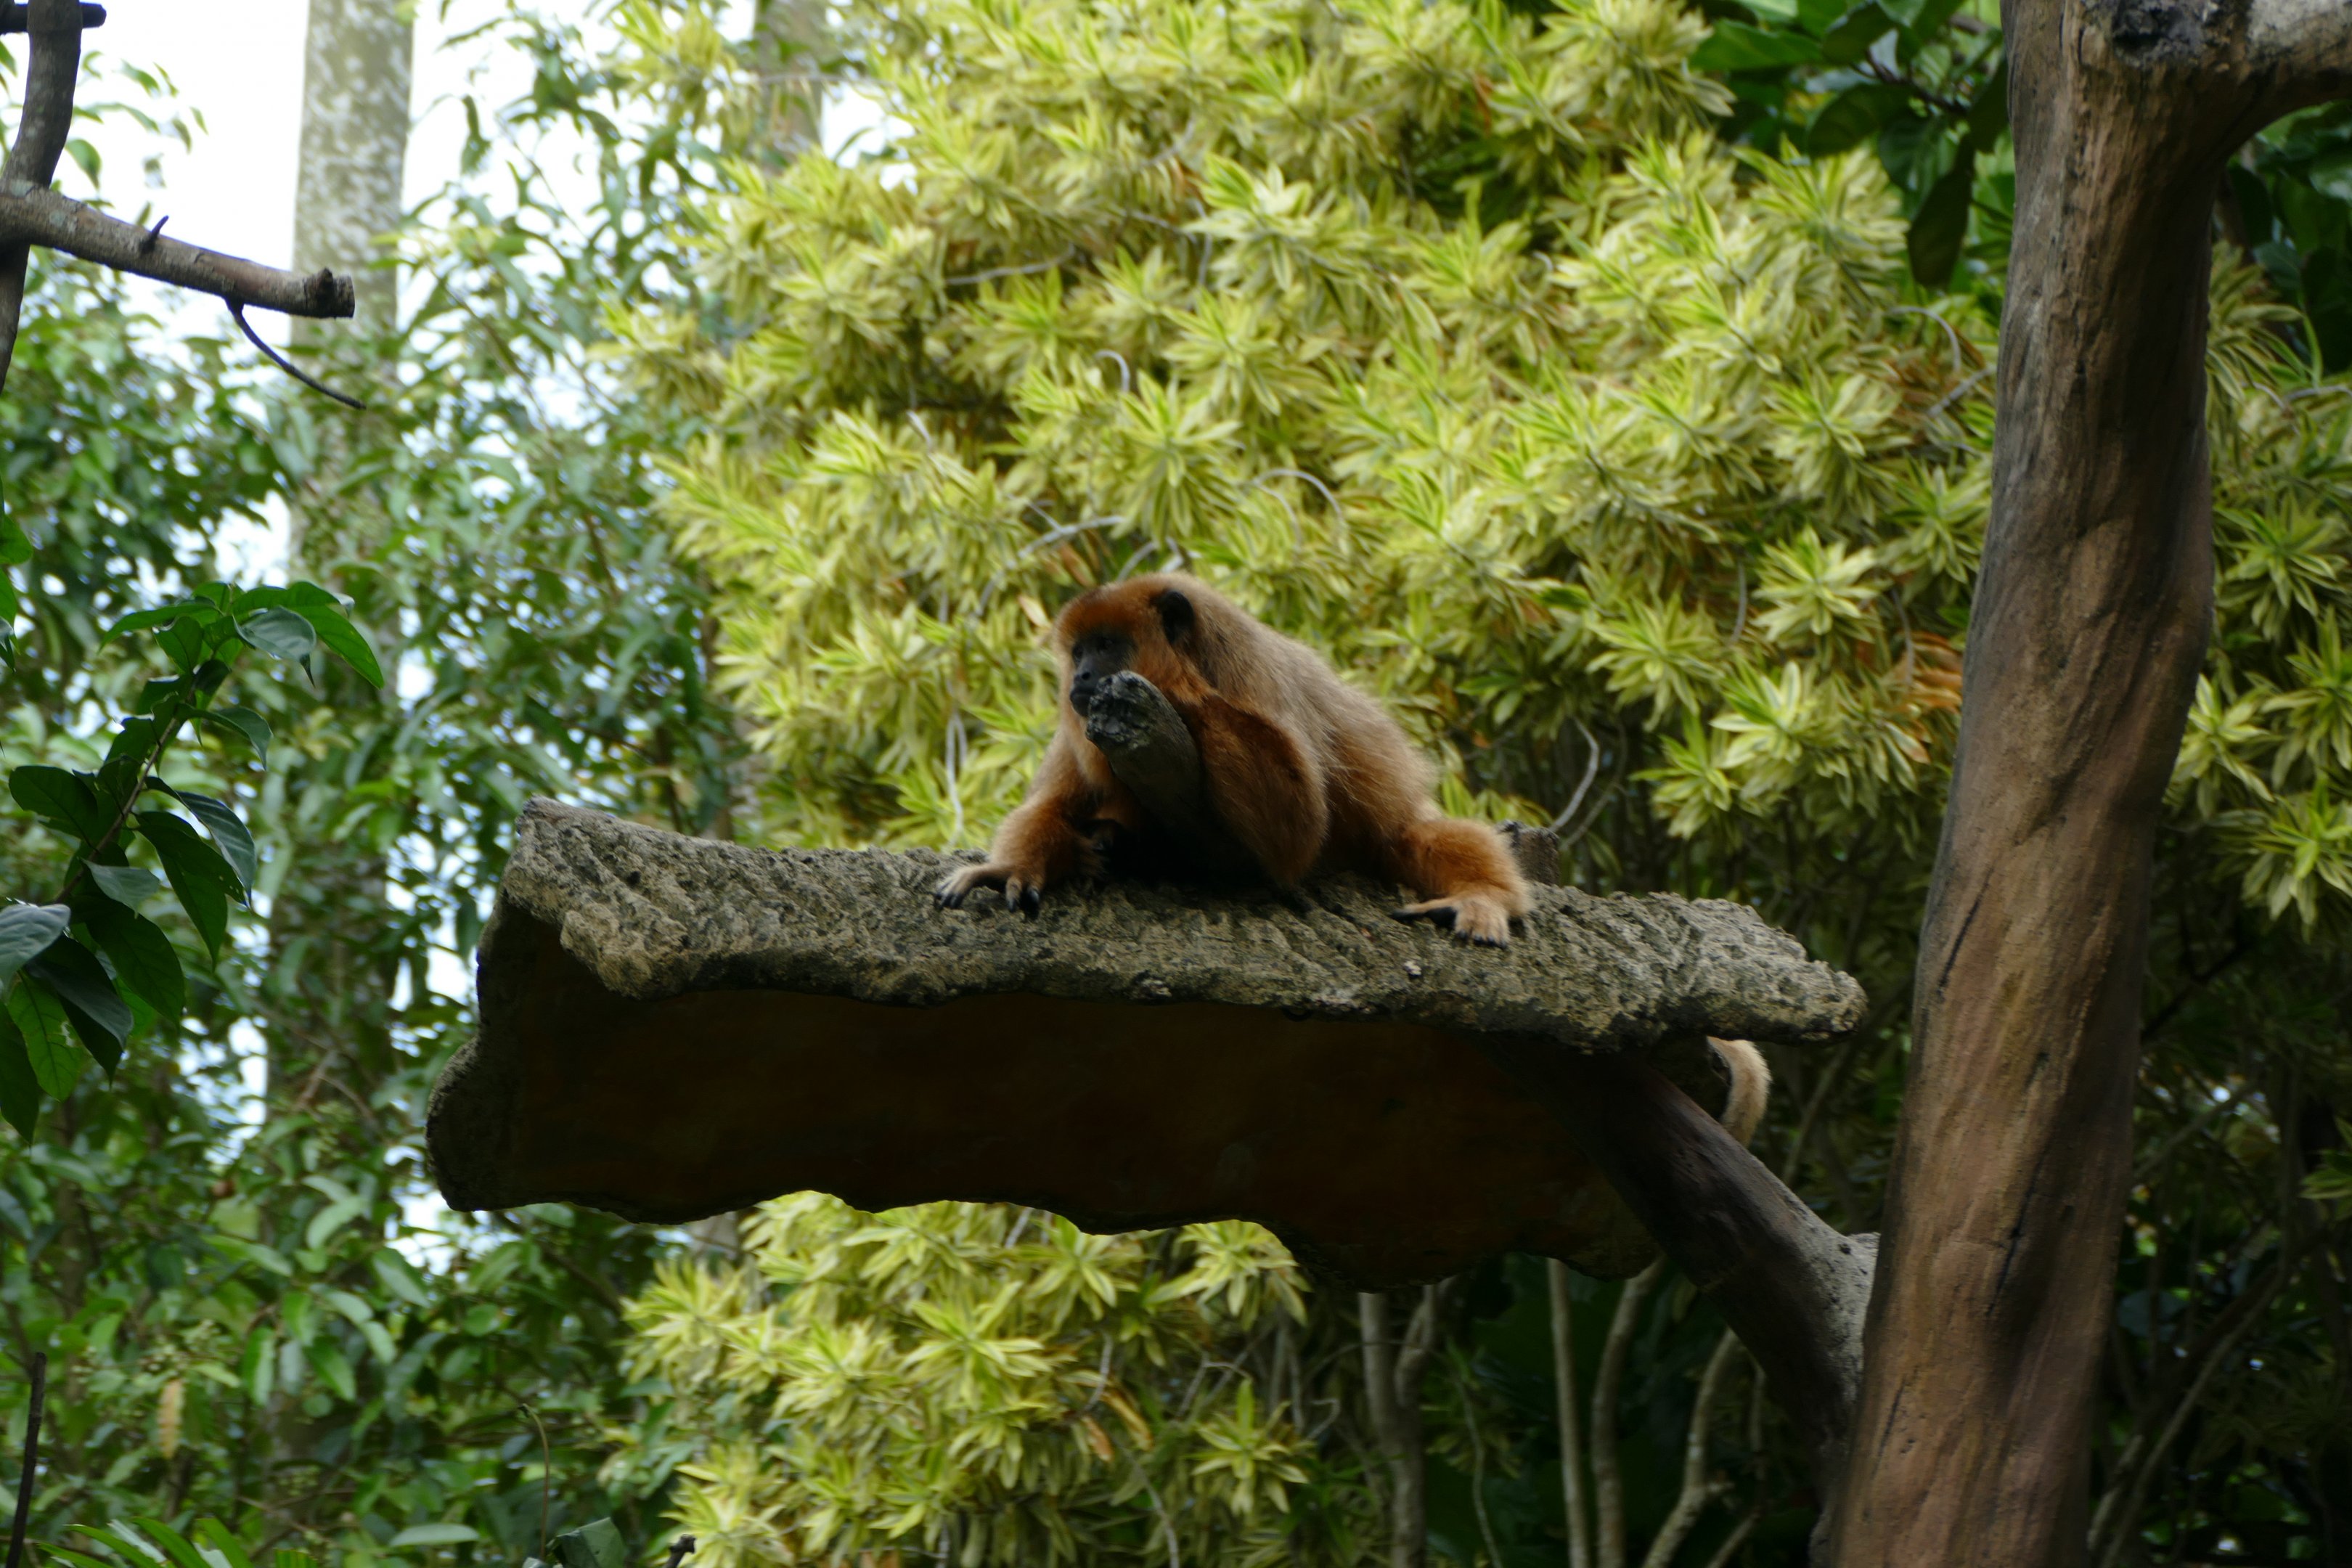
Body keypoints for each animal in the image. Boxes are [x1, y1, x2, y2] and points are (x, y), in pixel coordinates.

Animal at [933, 572, 1535, 944]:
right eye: (1078, 650)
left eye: (1106, 646)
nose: (1079, 675)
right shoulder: (1077, 724)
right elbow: (1050, 807)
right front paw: (1008, 868)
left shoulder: (1246, 667)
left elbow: (1295, 831)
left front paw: (1178, 694)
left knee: (1419, 836)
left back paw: (1484, 897)